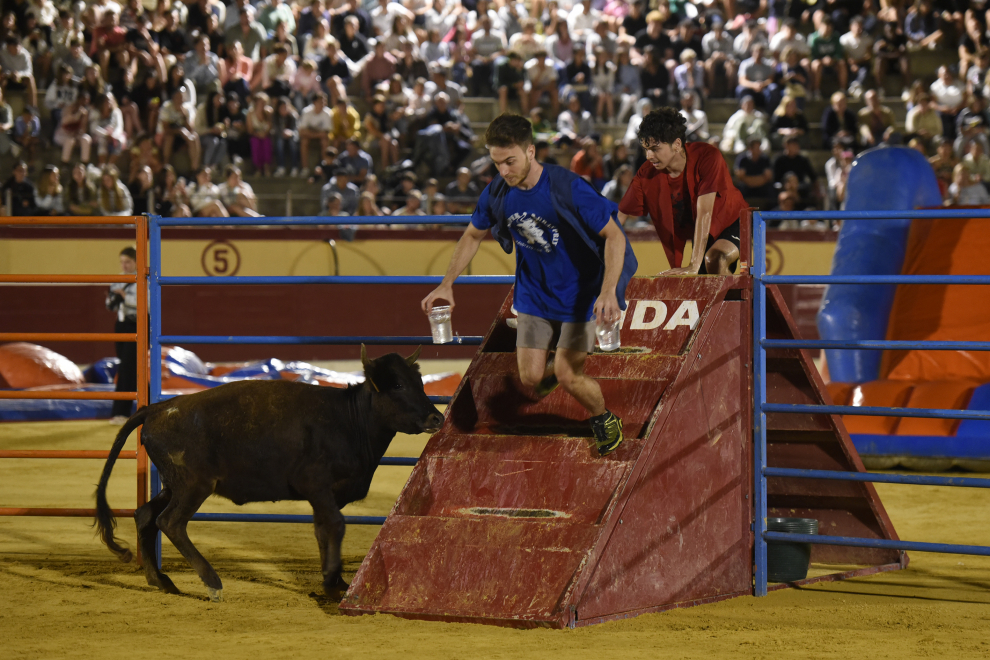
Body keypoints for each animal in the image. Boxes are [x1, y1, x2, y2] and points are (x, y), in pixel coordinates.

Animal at [95, 346, 444, 604]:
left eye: (420, 383)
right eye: (397, 385)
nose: (436, 418)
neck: (348, 420)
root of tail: (158, 408)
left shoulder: (325, 496)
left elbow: (322, 531)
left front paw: (335, 581)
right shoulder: (315, 485)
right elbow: (335, 525)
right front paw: (333, 581)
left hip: (174, 485)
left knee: (145, 515)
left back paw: (160, 580)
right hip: (194, 485)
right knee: (170, 522)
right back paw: (212, 582)